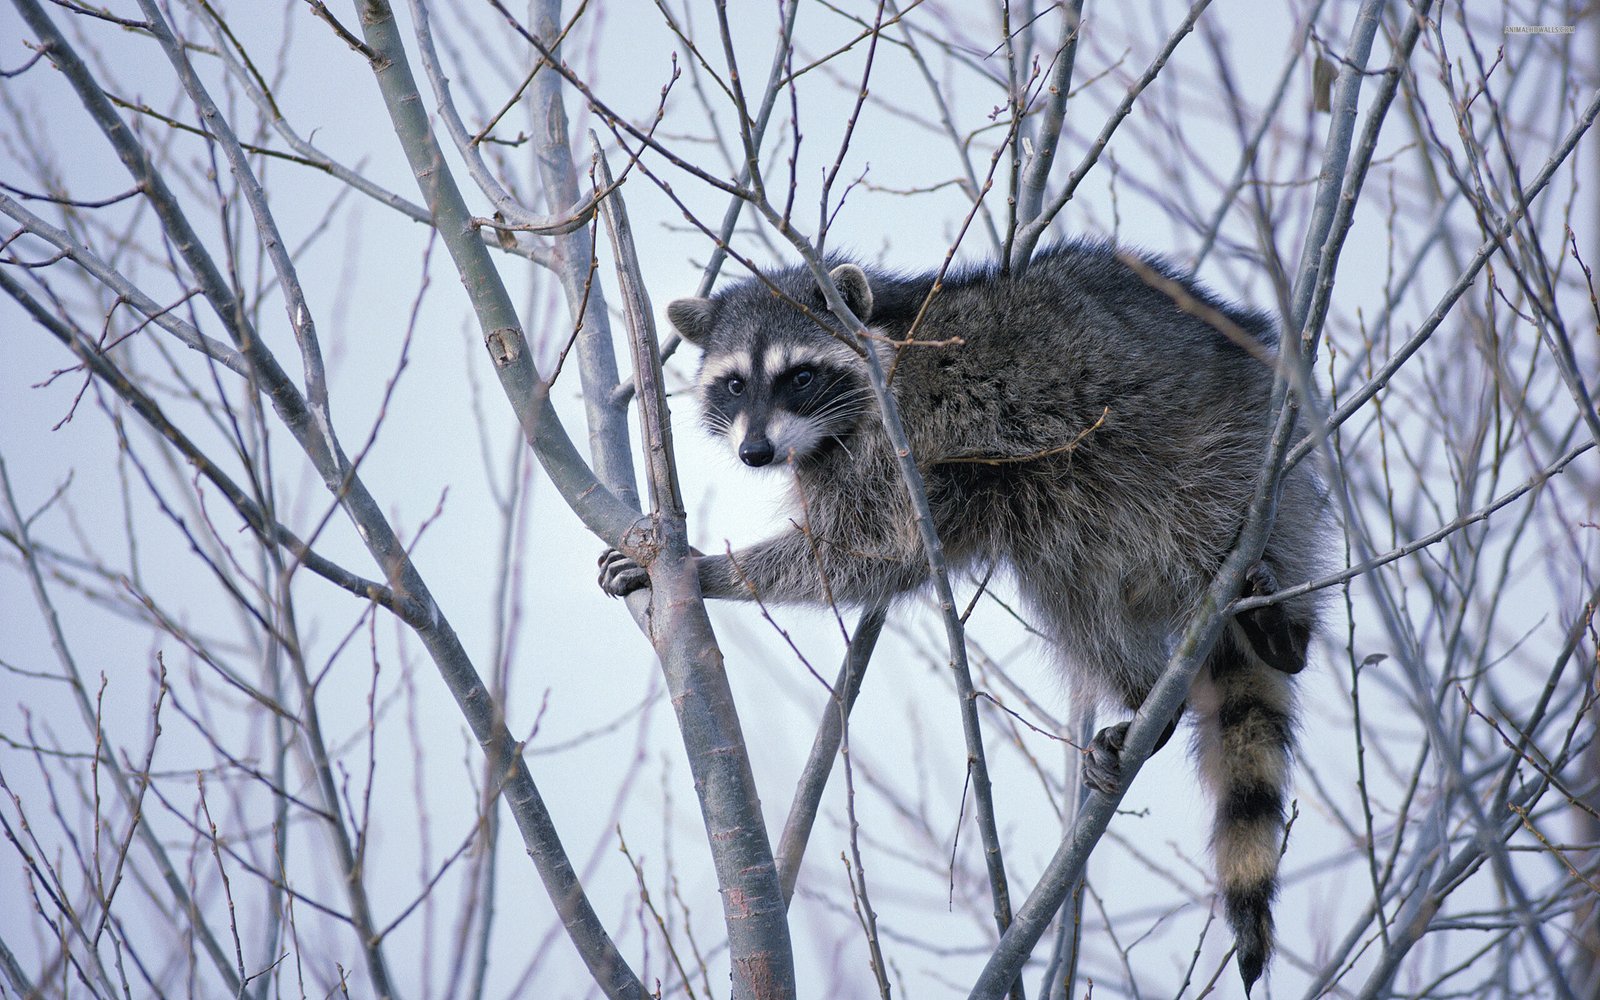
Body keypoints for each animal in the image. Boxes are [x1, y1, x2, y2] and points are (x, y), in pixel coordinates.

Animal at [599, 240, 1327, 993]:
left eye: (799, 376)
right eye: (736, 384)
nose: (755, 453)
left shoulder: (902, 436)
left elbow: (862, 548)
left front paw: (710, 569)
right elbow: (883, 560)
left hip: (1223, 453)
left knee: (1196, 522)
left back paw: (1283, 630)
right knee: (1070, 586)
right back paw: (1145, 693)